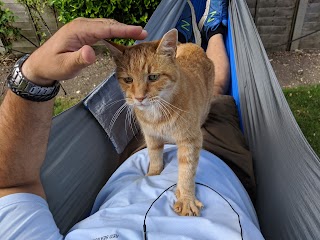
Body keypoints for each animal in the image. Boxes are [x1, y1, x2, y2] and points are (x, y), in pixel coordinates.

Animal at [106, 29, 214, 217]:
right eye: (128, 80)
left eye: (153, 77)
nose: (139, 98)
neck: (157, 113)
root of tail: (194, 46)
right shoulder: (151, 137)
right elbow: (155, 156)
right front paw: (153, 174)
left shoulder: (190, 141)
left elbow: (187, 171)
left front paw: (186, 199)